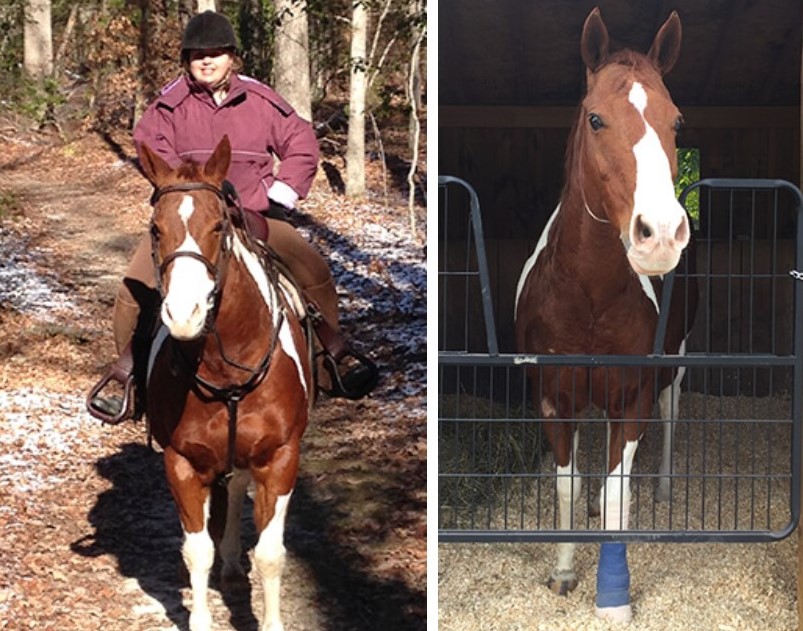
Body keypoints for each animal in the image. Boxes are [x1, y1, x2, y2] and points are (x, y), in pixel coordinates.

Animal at [138, 135, 312, 631]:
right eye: (155, 229)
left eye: (218, 226)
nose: (184, 314)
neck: (225, 368)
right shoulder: (181, 462)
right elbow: (197, 550)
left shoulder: (280, 458)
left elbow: (271, 554)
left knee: (235, 492)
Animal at [514, 8, 697, 623]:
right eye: (596, 119)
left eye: (676, 121)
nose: (659, 234)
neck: (589, 294)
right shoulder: (554, 395)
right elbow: (567, 485)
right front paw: (564, 571)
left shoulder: (631, 396)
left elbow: (619, 490)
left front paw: (613, 596)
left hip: (676, 365)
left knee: (671, 415)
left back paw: (663, 489)